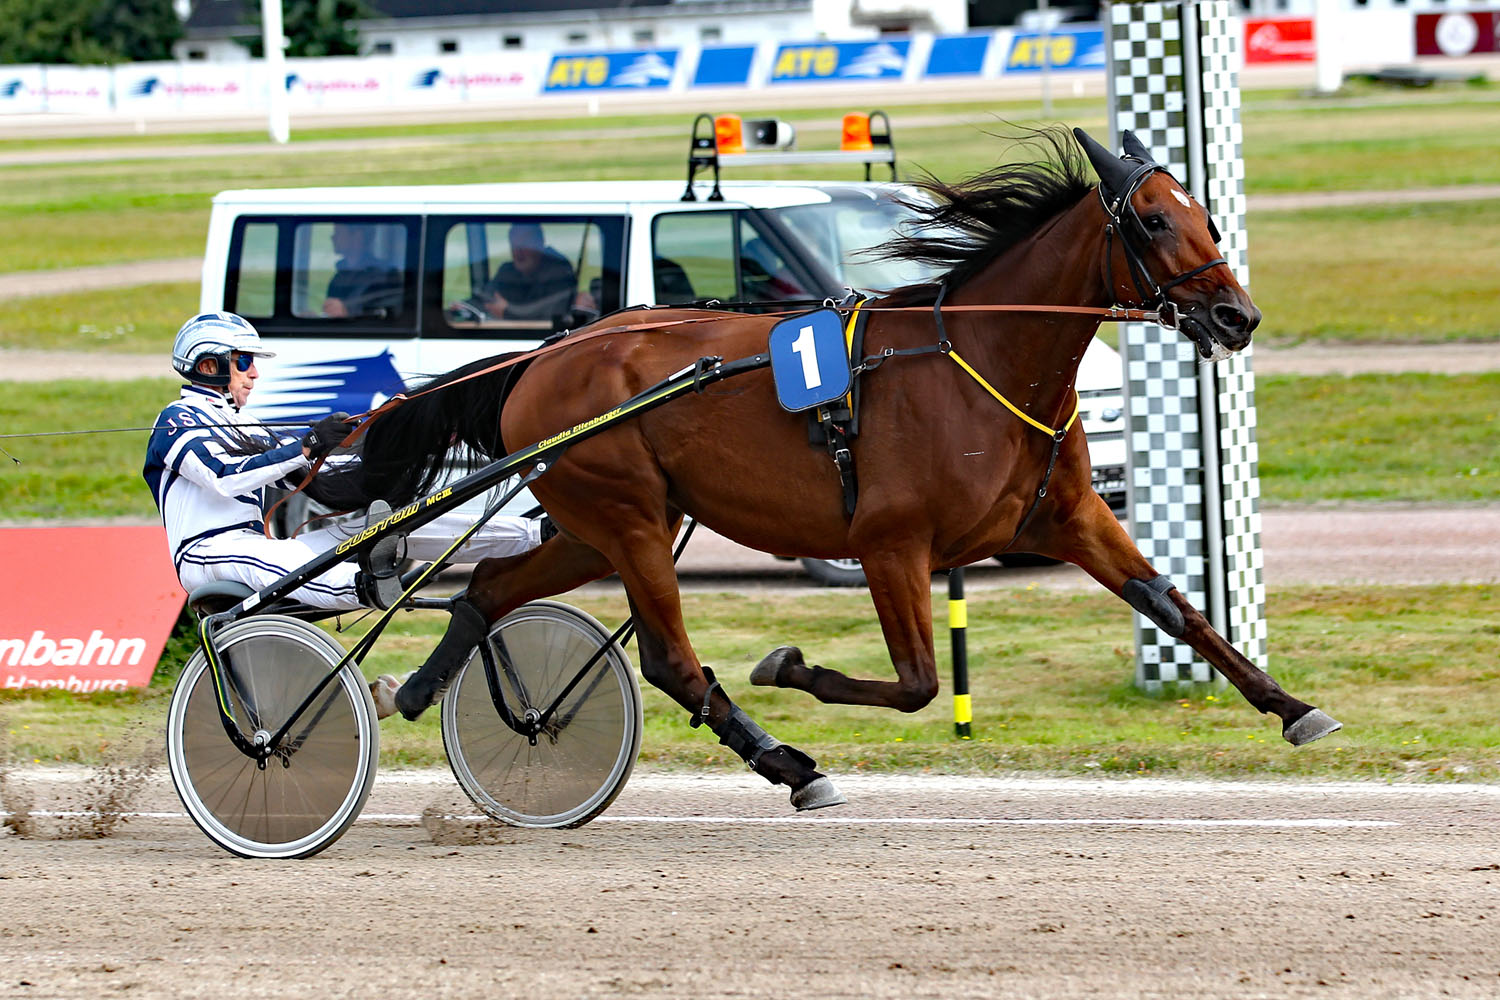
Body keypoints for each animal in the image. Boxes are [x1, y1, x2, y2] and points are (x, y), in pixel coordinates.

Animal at [314, 125, 1342, 810]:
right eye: (1155, 223)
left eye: (1207, 217)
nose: (1238, 317)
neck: (979, 359)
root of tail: (542, 356)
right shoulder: (890, 542)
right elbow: (919, 682)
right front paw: (790, 663)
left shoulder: (1069, 516)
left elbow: (1176, 608)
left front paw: (1292, 705)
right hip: (628, 519)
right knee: (670, 659)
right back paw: (789, 764)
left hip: (597, 524)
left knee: (491, 585)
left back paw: (420, 687)